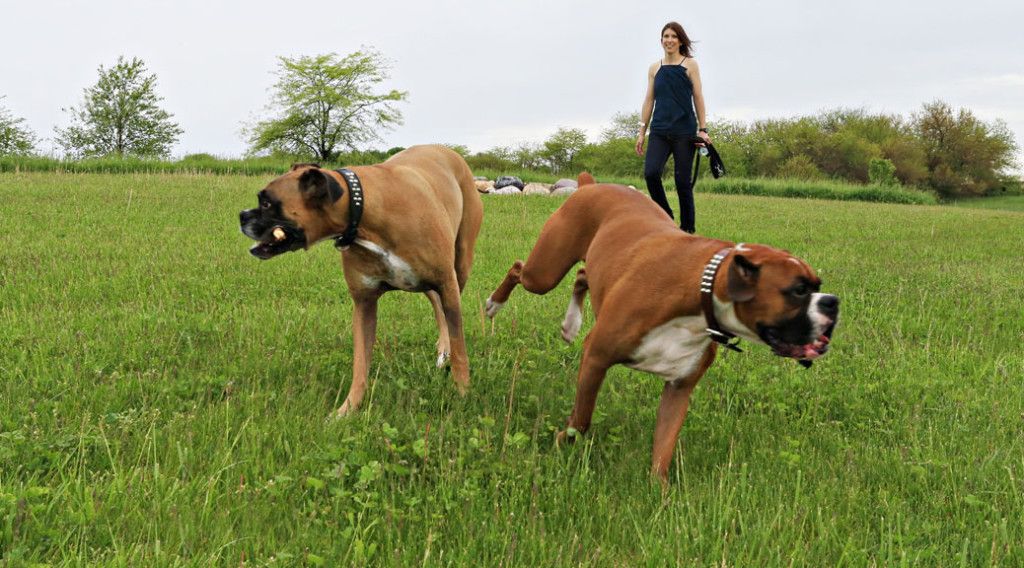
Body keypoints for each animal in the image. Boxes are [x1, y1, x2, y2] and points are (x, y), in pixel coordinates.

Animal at [239, 145, 483, 417]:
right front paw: (347, 410)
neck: (362, 212)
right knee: (435, 302)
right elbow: (360, 365)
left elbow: (460, 346)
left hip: (460, 267)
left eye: (267, 202)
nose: (242, 215)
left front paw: (462, 392)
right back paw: (442, 349)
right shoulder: (364, 303)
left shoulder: (447, 284)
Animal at [483, 172, 835, 481]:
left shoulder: (679, 388)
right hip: (544, 273)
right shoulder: (596, 357)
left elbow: (663, 448)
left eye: (817, 285)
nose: (832, 302)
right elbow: (581, 420)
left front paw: (659, 493)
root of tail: (590, 184)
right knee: (519, 269)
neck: (701, 292)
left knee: (583, 275)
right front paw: (561, 443)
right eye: (798, 290)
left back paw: (571, 324)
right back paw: (494, 304)